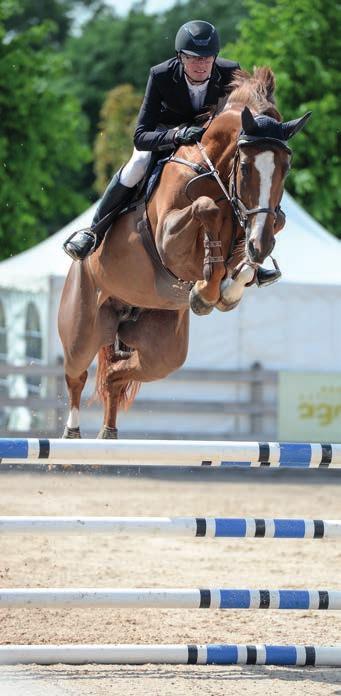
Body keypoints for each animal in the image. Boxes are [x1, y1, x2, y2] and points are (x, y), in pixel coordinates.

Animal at [59, 65, 310, 436]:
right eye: (246, 167)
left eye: (286, 167)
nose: (259, 244)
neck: (214, 171)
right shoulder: (167, 238)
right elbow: (206, 208)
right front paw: (205, 292)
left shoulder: (256, 225)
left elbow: (263, 236)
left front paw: (229, 288)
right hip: (82, 326)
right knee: (76, 375)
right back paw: (73, 434)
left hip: (162, 351)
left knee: (116, 377)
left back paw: (109, 433)